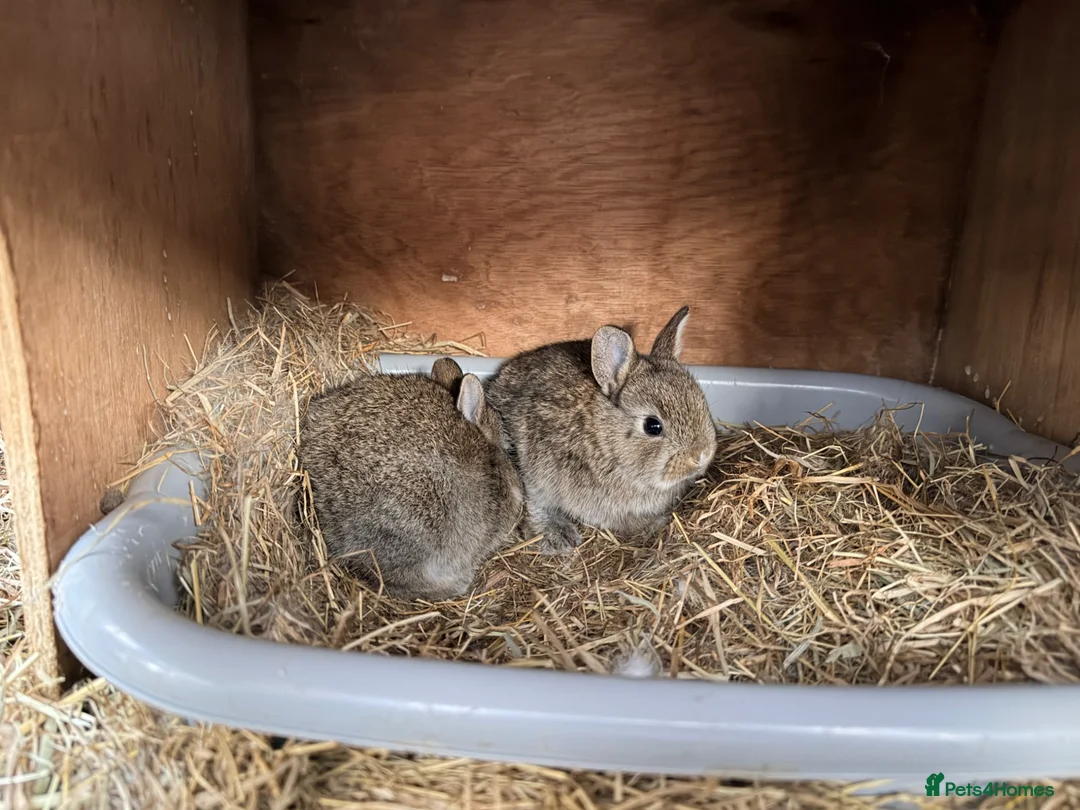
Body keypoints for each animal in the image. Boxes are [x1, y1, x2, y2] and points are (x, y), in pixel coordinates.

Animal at [485, 306, 717, 554]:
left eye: (702, 401)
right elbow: (536, 503)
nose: (701, 455)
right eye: (653, 426)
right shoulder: (537, 473)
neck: (604, 441)